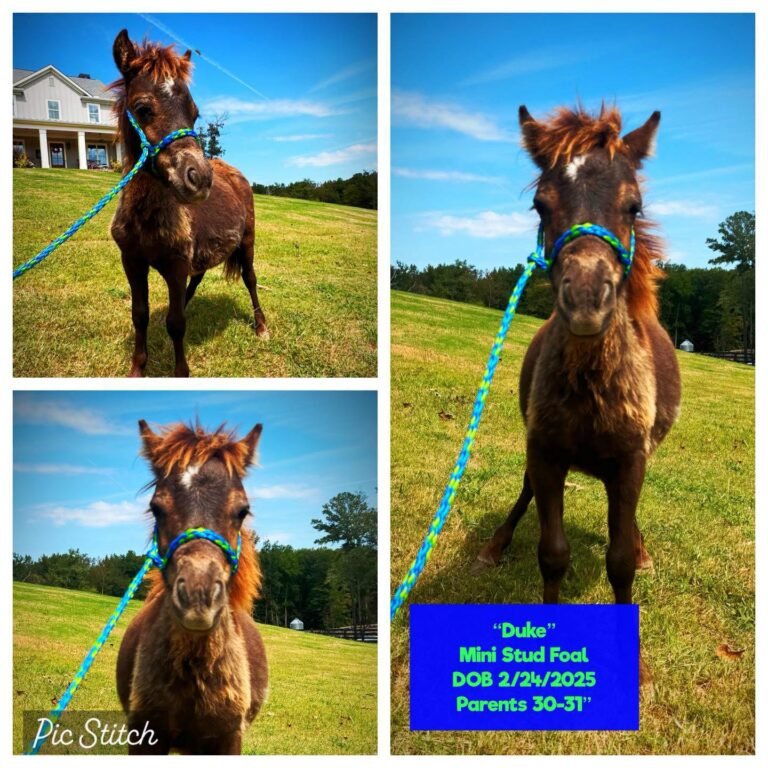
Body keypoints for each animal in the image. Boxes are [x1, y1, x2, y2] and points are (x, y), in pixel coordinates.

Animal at [109, 30, 268, 378]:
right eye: (143, 108)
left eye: (194, 114)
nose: (199, 178)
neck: (148, 218)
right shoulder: (131, 261)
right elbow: (140, 314)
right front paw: (137, 369)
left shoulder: (176, 264)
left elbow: (176, 324)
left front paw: (181, 372)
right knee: (198, 278)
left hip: (247, 240)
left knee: (250, 279)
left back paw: (262, 327)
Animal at [473, 105, 681, 681]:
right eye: (540, 205)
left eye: (634, 205)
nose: (588, 298)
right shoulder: (545, 451)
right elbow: (553, 553)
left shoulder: (631, 461)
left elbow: (619, 561)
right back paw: (495, 546)